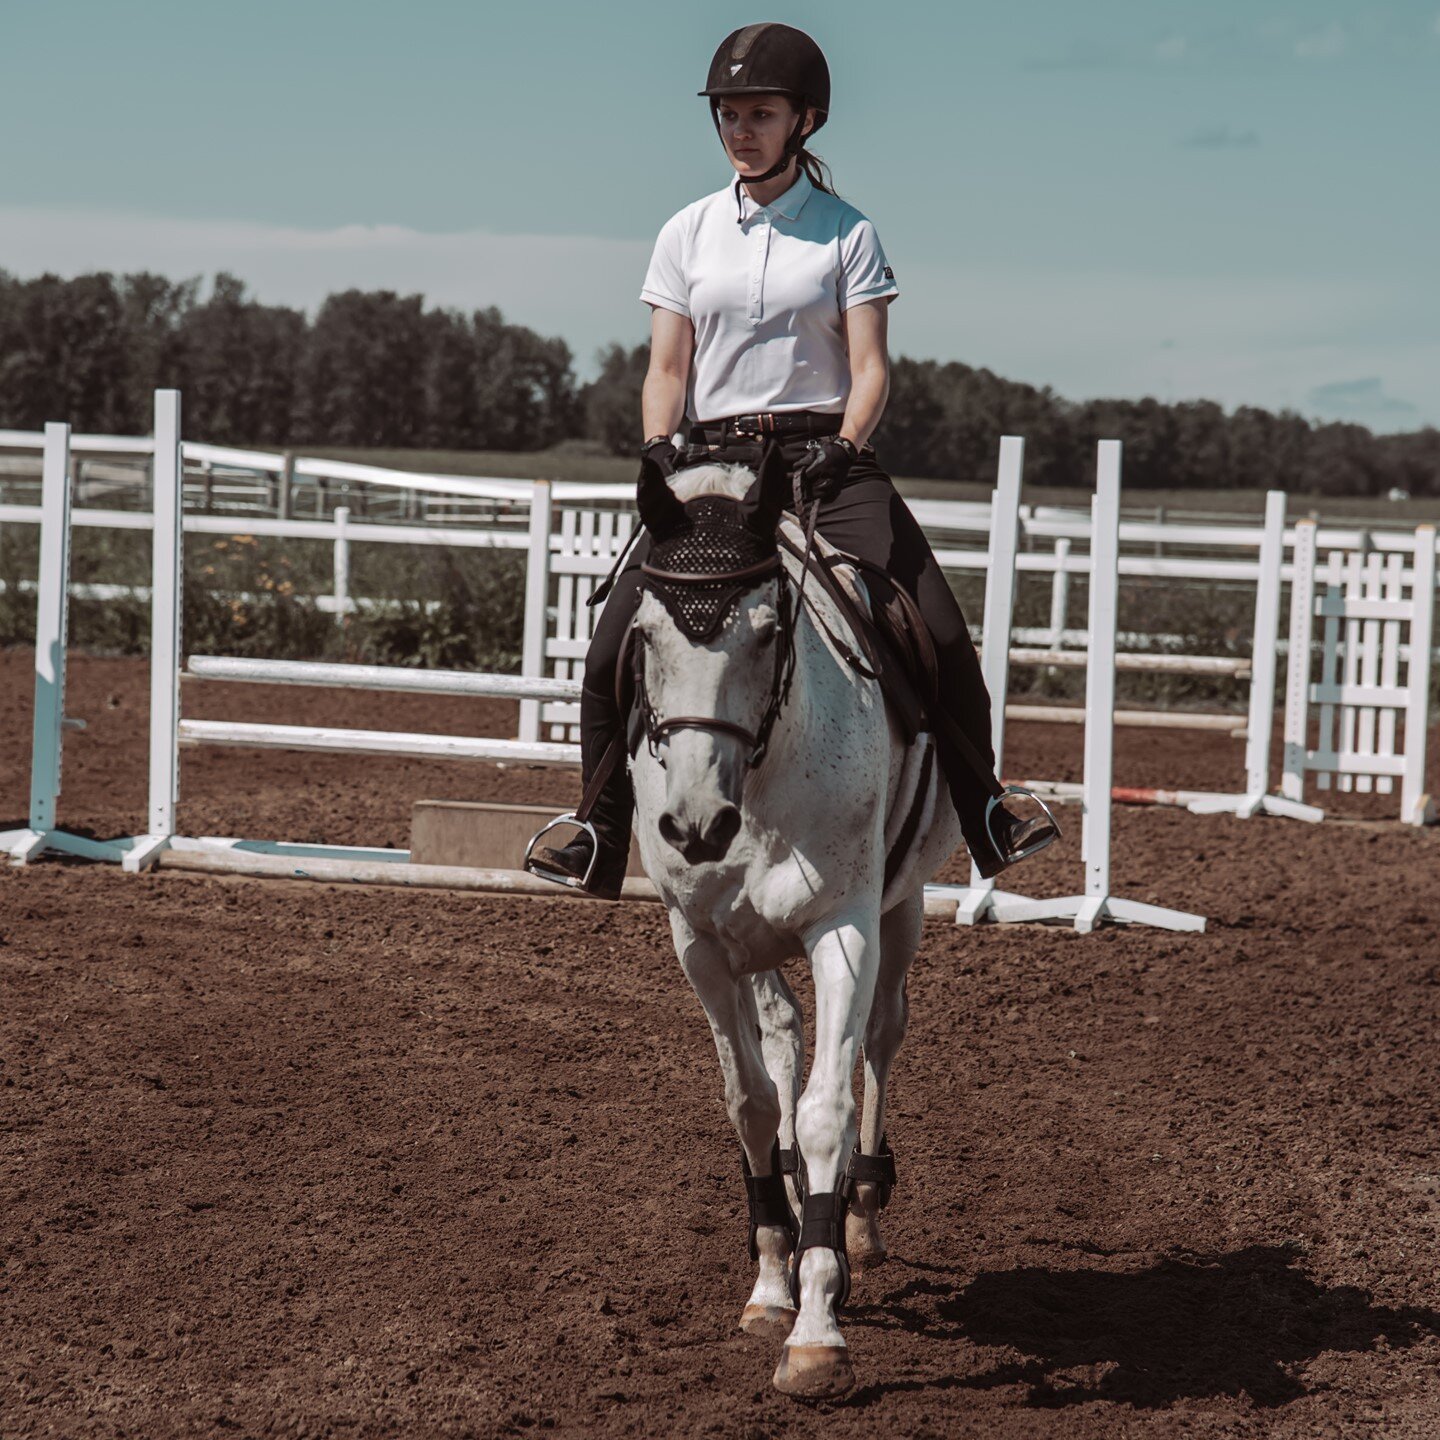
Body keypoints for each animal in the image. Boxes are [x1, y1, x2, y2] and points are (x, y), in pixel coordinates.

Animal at [633, 446, 961, 1393]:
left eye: (769, 630)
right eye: (644, 634)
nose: (695, 824)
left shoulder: (844, 927)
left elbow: (824, 1107)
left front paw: (817, 1329)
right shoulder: (701, 945)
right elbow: (750, 1099)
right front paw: (772, 1277)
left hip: (901, 912)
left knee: (879, 1039)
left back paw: (861, 1212)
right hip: (755, 944)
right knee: (782, 1035)